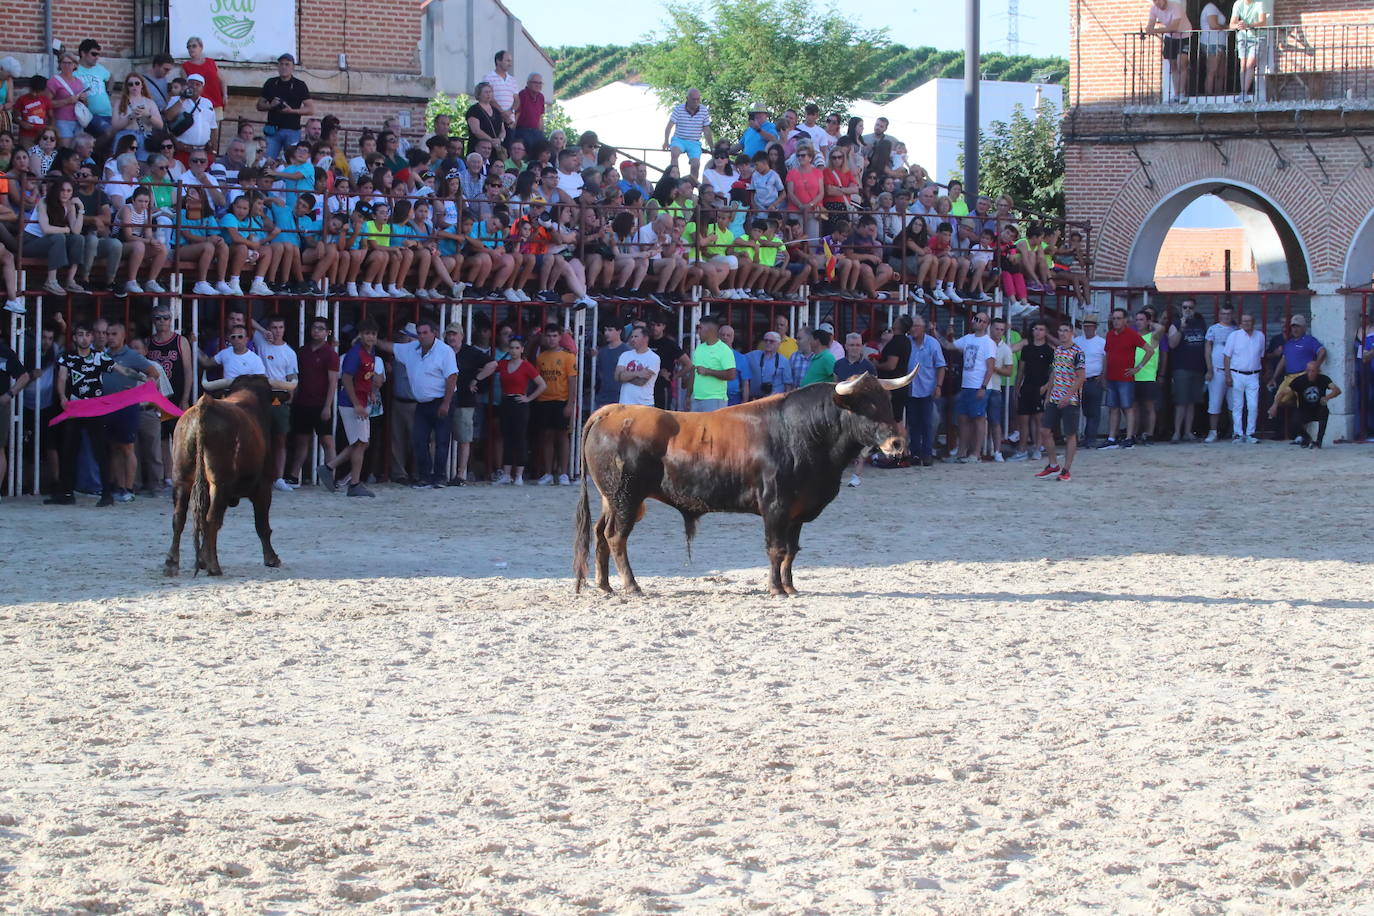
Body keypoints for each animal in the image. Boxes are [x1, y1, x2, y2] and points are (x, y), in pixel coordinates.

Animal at [161, 370, 278, 574]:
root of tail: (204, 406)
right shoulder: (264, 485)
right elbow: (262, 524)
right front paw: (271, 558)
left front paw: (201, 559)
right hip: (218, 483)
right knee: (211, 519)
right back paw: (214, 566)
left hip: (182, 480)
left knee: (180, 517)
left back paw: (172, 563)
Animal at [574, 368, 917, 598]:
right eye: (865, 404)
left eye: (886, 401)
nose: (898, 444)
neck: (803, 431)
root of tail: (610, 412)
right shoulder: (775, 507)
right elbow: (776, 549)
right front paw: (776, 589)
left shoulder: (797, 511)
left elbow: (792, 551)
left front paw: (791, 586)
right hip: (627, 498)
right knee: (616, 537)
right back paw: (631, 586)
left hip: (612, 499)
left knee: (600, 534)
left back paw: (604, 585)